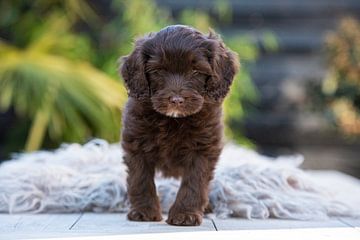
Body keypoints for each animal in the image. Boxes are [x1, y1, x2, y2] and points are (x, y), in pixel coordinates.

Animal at [119, 25, 240, 226]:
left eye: (196, 71)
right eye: (158, 71)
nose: (176, 100)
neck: (173, 120)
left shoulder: (203, 148)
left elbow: (194, 182)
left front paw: (185, 215)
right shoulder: (137, 143)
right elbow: (140, 179)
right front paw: (144, 212)